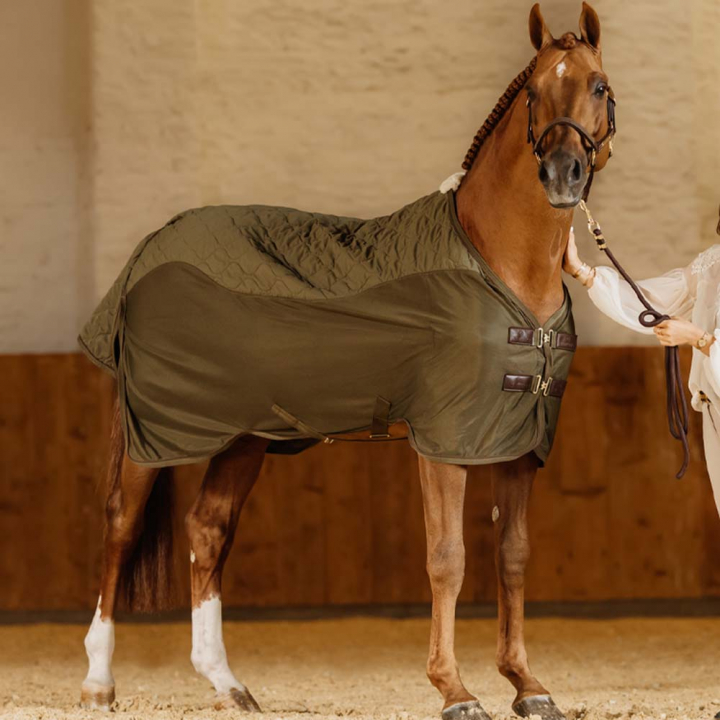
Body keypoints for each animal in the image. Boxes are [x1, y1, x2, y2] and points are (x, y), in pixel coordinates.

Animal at [79, 4, 614, 720]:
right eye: (533, 94)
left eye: (599, 87)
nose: (561, 174)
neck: (499, 261)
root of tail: (147, 250)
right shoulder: (443, 443)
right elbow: (447, 558)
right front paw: (454, 689)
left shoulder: (519, 446)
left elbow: (514, 557)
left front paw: (528, 685)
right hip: (157, 431)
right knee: (120, 524)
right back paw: (98, 681)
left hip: (244, 436)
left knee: (207, 529)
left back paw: (227, 684)